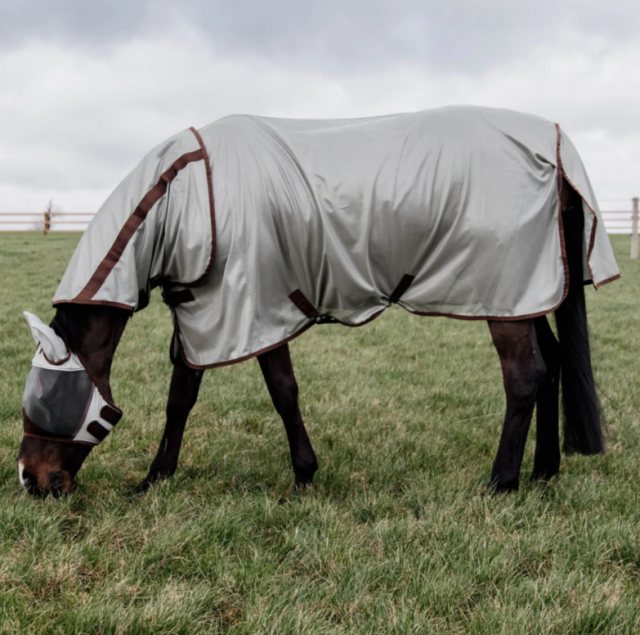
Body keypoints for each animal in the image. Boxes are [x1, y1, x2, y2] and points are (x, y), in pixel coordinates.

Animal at [18, 108, 620, 496]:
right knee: (551, 365)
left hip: (504, 300)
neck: (190, 194)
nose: (30, 480)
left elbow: (282, 392)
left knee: (524, 376)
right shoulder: (202, 315)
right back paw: (543, 472)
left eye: (46, 396)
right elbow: (181, 399)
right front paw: (154, 479)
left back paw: (502, 482)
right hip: (525, 294)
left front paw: (304, 474)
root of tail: (554, 145)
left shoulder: (255, 310)